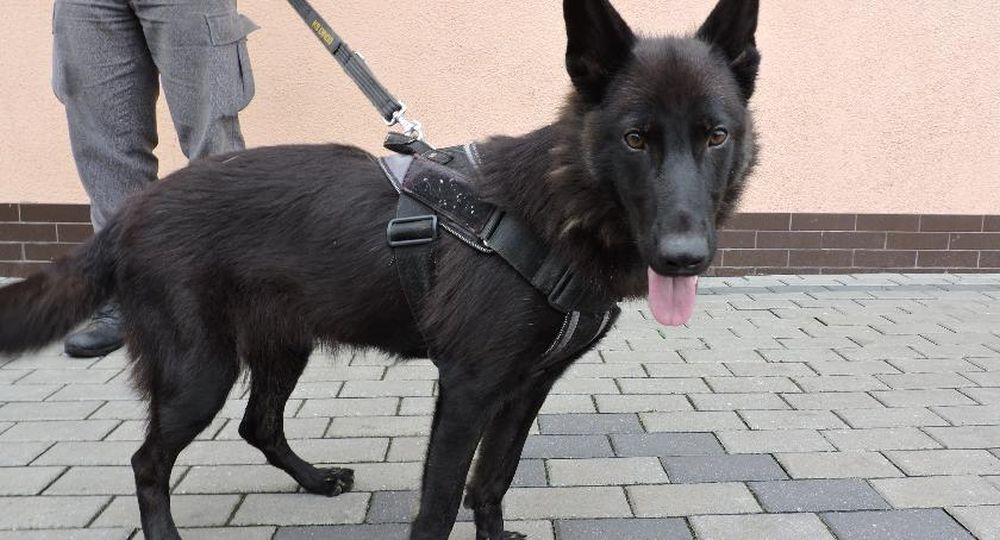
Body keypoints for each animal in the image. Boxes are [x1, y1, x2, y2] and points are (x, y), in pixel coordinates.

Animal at [0, 0, 760, 538]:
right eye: (634, 139)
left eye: (715, 135)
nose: (684, 258)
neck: (561, 203)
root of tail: (132, 210)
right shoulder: (469, 388)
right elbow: (440, 502)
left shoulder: (526, 388)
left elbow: (493, 481)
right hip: (199, 371)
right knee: (148, 462)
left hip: (283, 344)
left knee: (259, 427)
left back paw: (313, 481)